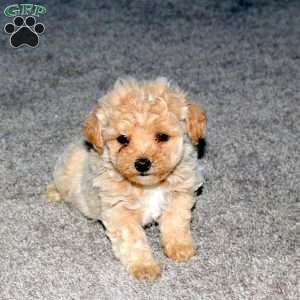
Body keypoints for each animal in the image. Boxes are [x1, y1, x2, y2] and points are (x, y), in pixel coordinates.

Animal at [47, 78, 206, 280]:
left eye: (162, 136)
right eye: (122, 139)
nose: (142, 164)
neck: (148, 186)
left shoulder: (179, 194)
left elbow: (175, 223)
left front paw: (180, 247)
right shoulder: (119, 211)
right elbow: (134, 239)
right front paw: (144, 267)